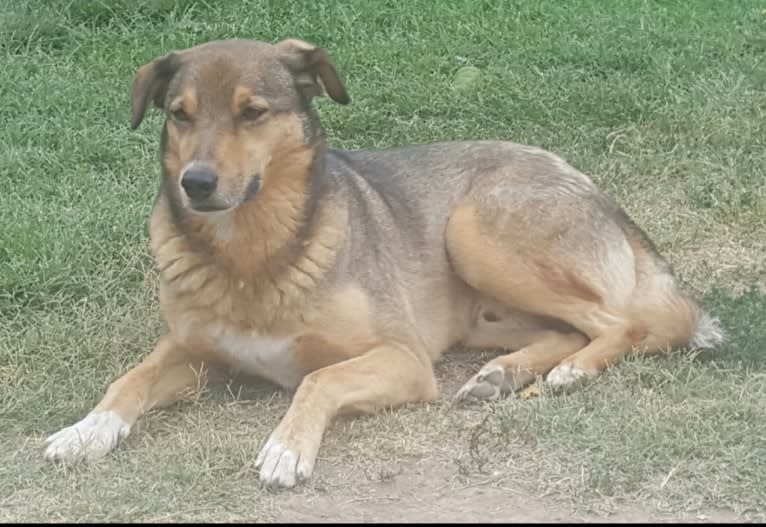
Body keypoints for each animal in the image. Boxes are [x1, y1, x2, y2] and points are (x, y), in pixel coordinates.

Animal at [43, 38, 728, 490]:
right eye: (180, 114)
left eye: (252, 112)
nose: (196, 184)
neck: (253, 257)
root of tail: (580, 176)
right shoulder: (190, 350)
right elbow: (128, 380)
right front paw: (87, 429)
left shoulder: (402, 359)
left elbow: (320, 379)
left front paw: (287, 446)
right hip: (485, 308)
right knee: (568, 329)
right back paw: (501, 375)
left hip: (473, 232)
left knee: (625, 323)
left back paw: (572, 372)